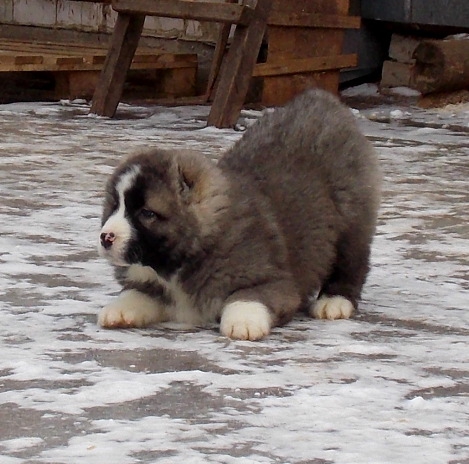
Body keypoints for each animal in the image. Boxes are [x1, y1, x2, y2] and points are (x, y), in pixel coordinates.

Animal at [98, 88, 380, 340]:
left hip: (351, 219)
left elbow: (246, 297)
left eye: (147, 213)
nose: (105, 237)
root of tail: (322, 99)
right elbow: (137, 292)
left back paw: (334, 301)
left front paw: (243, 322)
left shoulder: (272, 282)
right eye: (114, 207)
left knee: (352, 263)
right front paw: (118, 310)